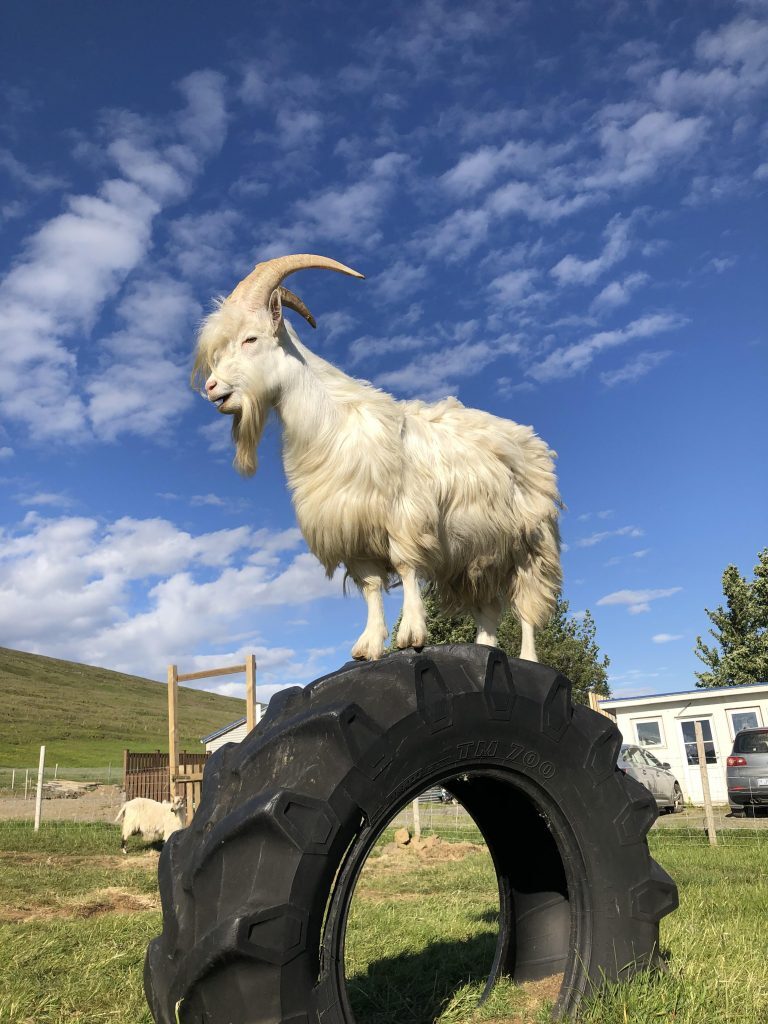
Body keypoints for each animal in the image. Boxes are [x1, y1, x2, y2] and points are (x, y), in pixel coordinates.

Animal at [195, 251, 561, 659]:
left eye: (251, 338)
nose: (212, 388)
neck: (334, 422)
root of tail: (530, 440)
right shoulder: (354, 532)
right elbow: (371, 587)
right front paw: (368, 644)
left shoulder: (405, 517)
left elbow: (406, 566)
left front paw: (412, 634)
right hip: (476, 557)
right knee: (489, 609)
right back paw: (484, 649)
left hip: (530, 545)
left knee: (526, 605)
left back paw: (526, 658)